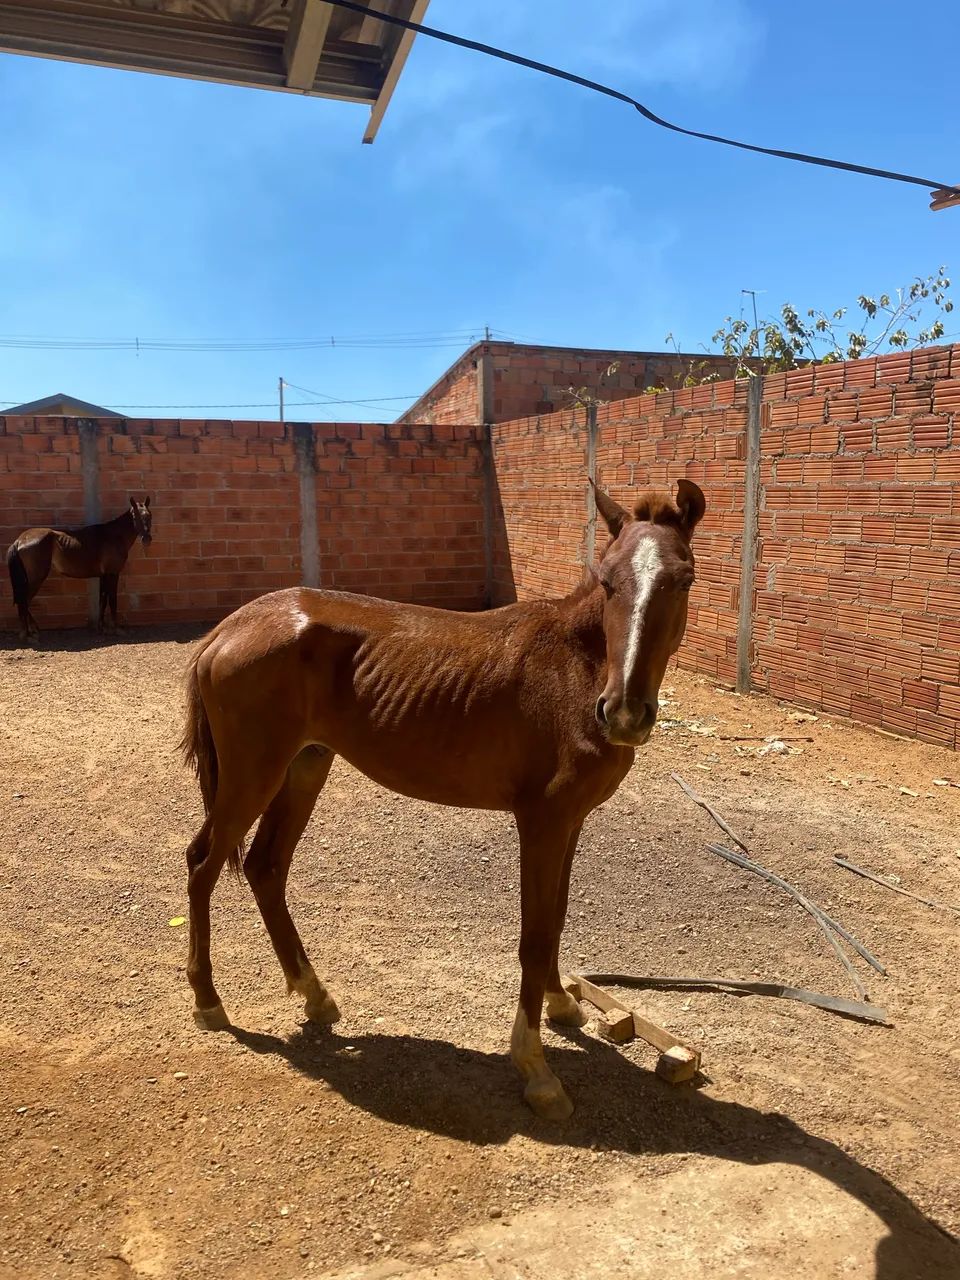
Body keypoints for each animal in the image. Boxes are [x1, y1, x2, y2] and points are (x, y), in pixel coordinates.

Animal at [6, 497, 153, 642]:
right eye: (135, 516)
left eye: (149, 516)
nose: (147, 539)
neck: (113, 536)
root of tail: (20, 540)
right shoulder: (113, 574)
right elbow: (112, 600)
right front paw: (116, 629)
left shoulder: (104, 575)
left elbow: (103, 600)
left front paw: (101, 628)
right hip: (36, 578)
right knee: (24, 601)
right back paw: (28, 635)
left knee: (23, 601)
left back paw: (32, 630)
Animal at [179, 479, 705, 1120]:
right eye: (606, 580)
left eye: (684, 578)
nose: (625, 713)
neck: (574, 668)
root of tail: (228, 629)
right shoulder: (542, 821)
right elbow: (534, 936)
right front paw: (535, 1068)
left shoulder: (571, 822)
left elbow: (555, 918)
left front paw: (562, 1005)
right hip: (252, 777)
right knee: (203, 865)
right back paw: (209, 1002)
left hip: (303, 768)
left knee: (264, 867)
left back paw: (314, 995)